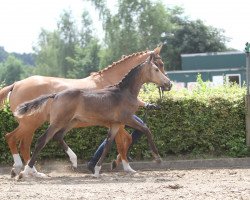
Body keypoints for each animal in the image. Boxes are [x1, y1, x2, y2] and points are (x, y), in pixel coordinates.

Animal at [0, 45, 168, 177]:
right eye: (159, 65)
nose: (169, 84)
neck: (120, 89)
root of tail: (15, 84)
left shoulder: (116, 122)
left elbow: (116, 142)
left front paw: (107, 166)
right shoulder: (123, 120)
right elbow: (127, 138)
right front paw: (130, 164)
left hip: (53, 122)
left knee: (29, 142)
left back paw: (37, 169)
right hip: (36, 122)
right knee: (20, 139)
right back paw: (24, 169)